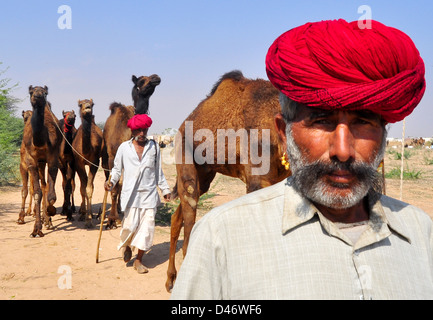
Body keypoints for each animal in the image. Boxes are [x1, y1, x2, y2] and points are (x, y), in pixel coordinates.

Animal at [17, 85, 61, 238]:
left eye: (45, 92)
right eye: (31, 91)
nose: (38, 95)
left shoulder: (53, 158)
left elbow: (51, 194)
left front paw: (49, 213)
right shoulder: (30, 162)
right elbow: (36, 192)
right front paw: (36, 229)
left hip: (43, 163)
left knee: (45, 186)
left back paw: (47, 218)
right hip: (36, 164)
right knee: (32, 188)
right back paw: (23, 217)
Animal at [101, 74, 160, 229]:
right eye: (141, 80)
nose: (156, 77)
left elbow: (120, 185)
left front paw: (116, 216)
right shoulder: (112, 157)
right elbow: (114, 187)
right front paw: (111, 219)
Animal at [165, 71, 290, 292]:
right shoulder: (258, 180)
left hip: (205, 175)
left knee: (176, 217)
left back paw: (171, 279)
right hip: (185, 161)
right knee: (188, 221)